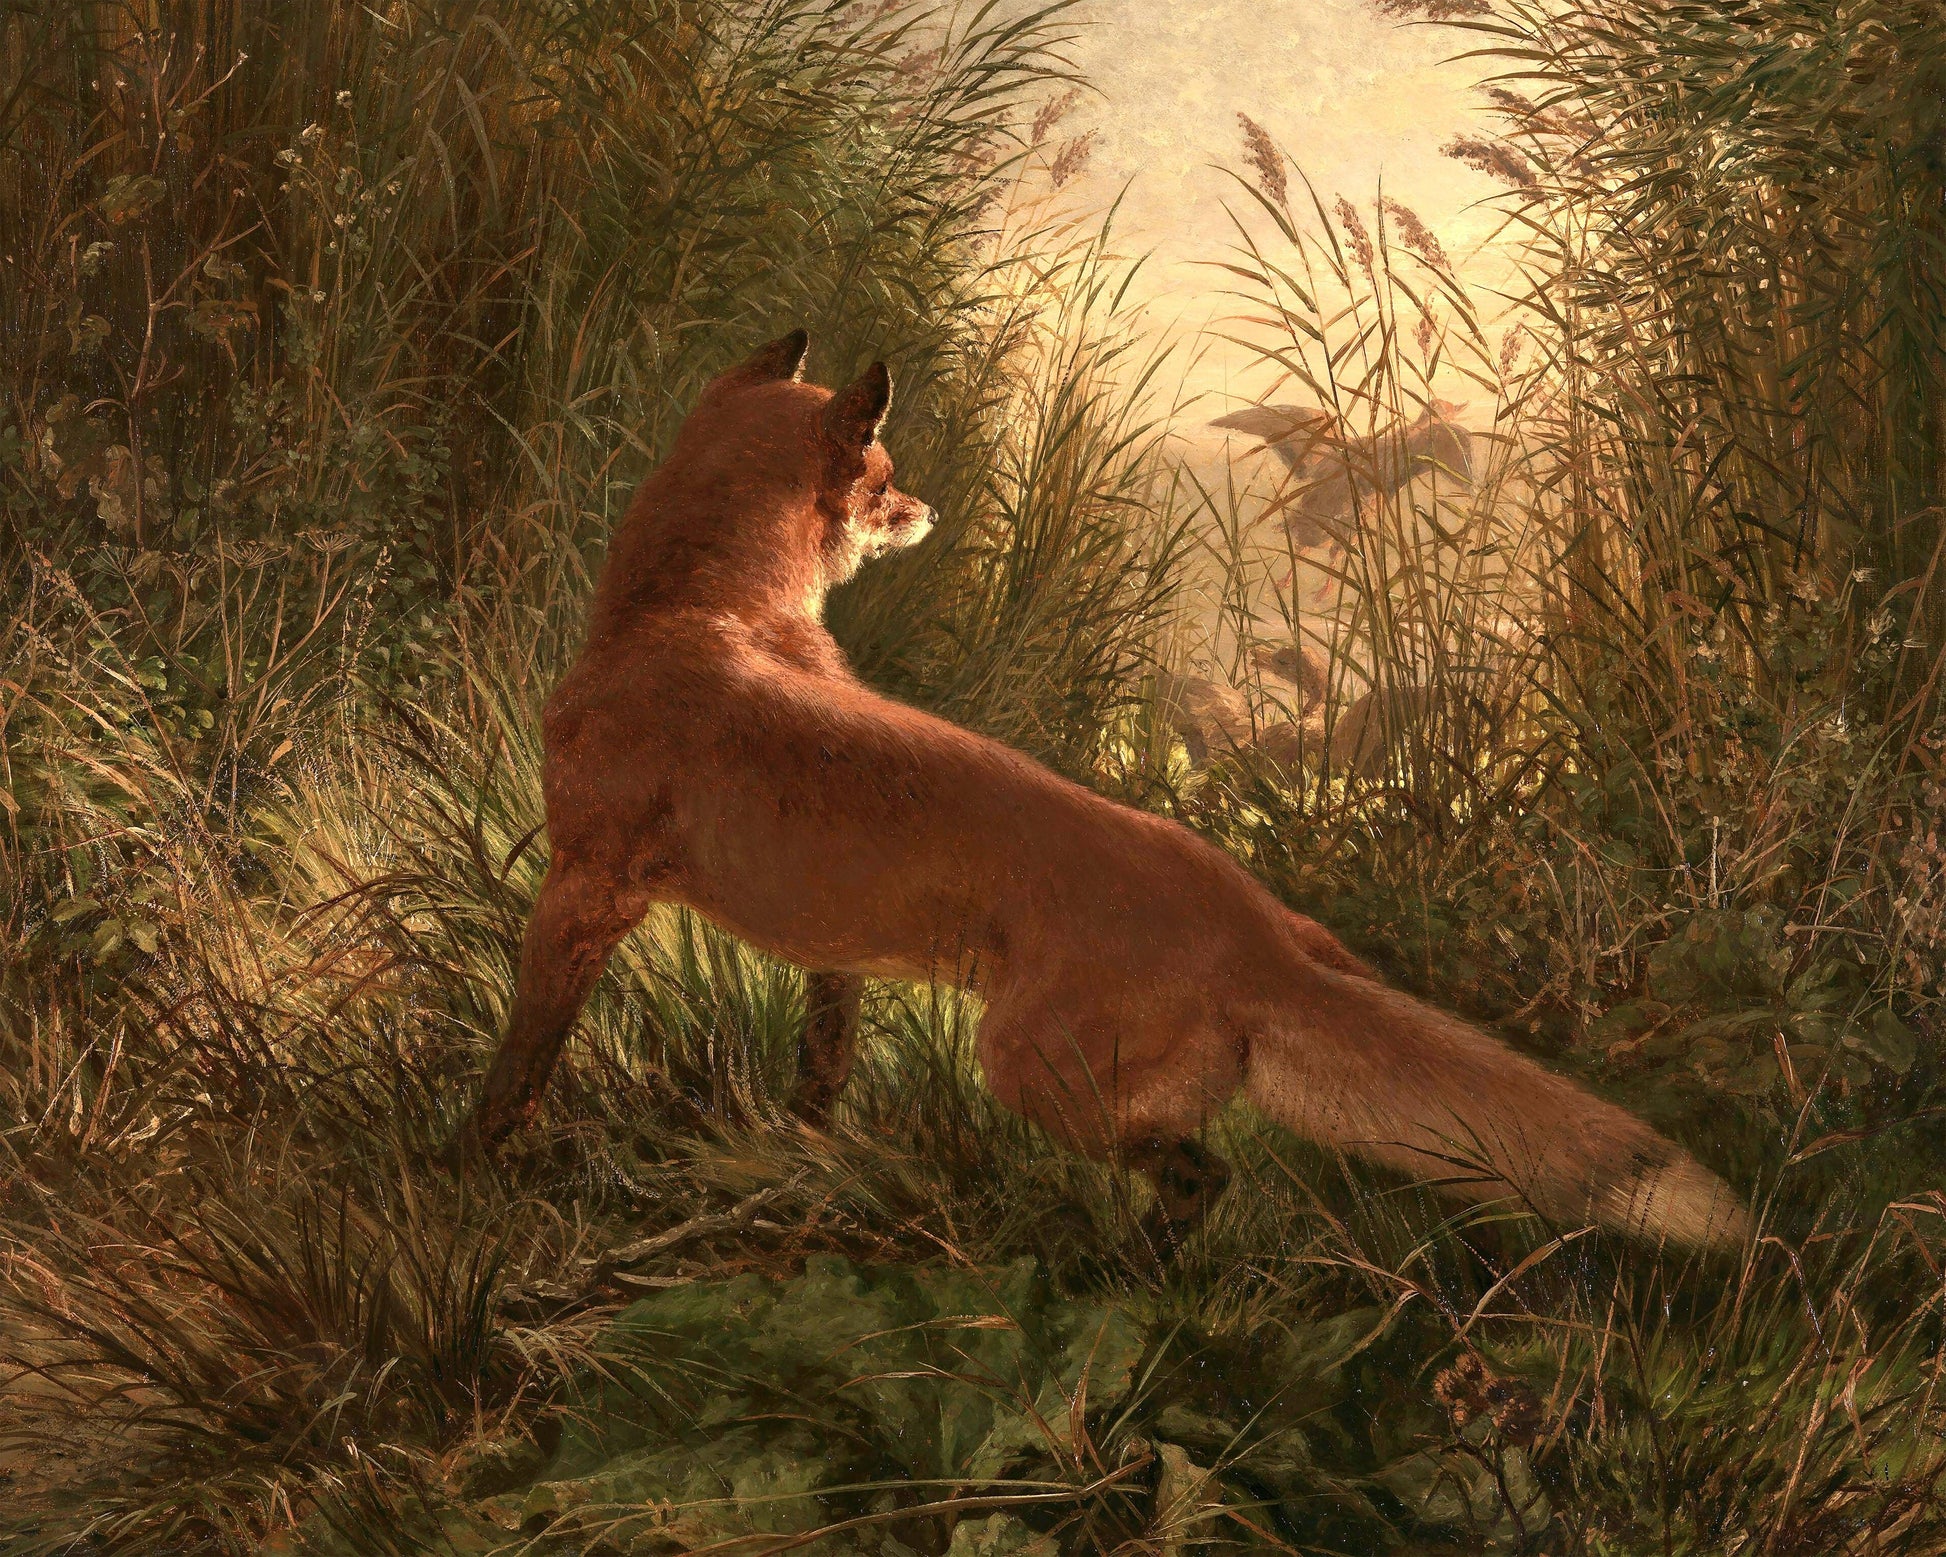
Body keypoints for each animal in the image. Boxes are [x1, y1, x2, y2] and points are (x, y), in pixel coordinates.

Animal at [462, 329, 1750, 1253]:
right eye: (884, 476)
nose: (928, 508)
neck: (696, 614)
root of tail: (1256, 930)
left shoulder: (583, 888)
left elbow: (518, 1067)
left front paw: (472, 1176)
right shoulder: (834, 956)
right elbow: (816, 1078)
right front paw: (795, 1160)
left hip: (1028, 1071)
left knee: (1201, 1175)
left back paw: (1131, 1269)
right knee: (1200, 1176)